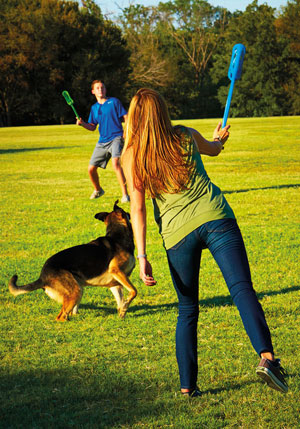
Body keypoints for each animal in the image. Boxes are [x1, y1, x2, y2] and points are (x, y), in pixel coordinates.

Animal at [7, 201, 137, 320]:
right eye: (125, 212)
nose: (130, 212)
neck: (117, 236)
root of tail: (42, 277)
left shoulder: (115, 284)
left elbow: (121, 300)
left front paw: (122, 311)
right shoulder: (116, 271)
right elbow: (134, 291)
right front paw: (125, 305)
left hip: (78, 289)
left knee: (70, 312)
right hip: (75, 291)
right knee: (61, 316)